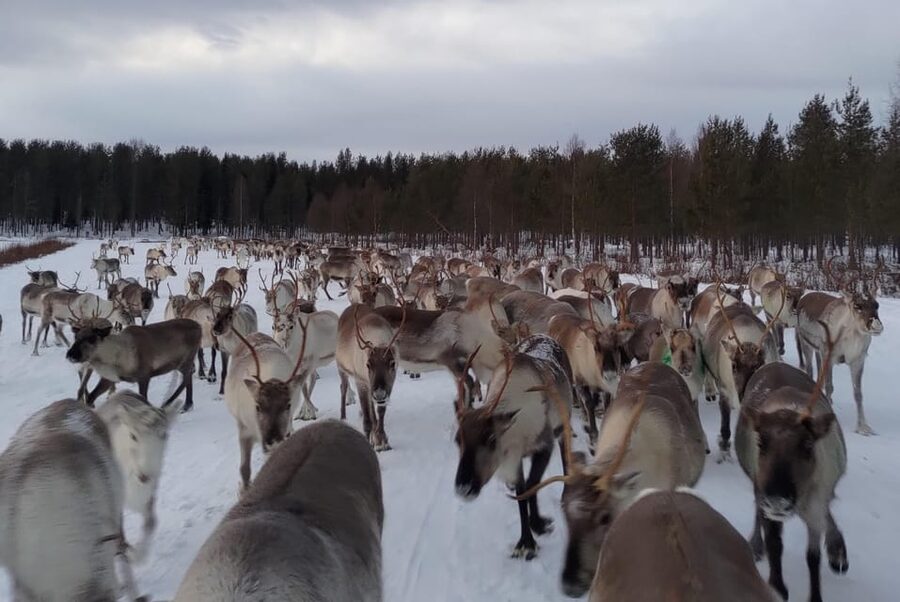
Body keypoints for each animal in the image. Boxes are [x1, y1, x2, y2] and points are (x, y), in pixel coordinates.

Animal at [66, 316, 202, 411]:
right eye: (76, 337)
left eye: (92, 339)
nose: (70, 355)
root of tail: (199, 326)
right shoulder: (109, 378)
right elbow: (90, 398)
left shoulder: (144, 376)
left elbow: (143, 399)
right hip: (180, 364)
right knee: (188, 376)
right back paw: (186, 404)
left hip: (186, 359)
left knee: (188, 376)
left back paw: (171, 403)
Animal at [336, 305, 403, 450]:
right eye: (368, 364)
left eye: (392, 363)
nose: (379, 394)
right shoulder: (361, 381)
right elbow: (366, 419)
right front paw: (370, 440)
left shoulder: (387, 385)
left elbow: (380, 411)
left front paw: (382, 440)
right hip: (341, 368)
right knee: (343, 387)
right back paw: (343, 418)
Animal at [454, 335, 574, 560]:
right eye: (458, 440)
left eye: (491, 438)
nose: (463, 488)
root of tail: (546, 336)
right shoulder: (514, 458)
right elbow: (521, 491)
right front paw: (526, 540)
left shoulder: (544, 445)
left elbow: (531, 486)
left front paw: (535, 530)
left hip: (564, 423)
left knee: (565, 452)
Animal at [736, 353, 848, 602]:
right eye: (761, 442)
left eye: (808, 445)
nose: (778, 500)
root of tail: (774, 361)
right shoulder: (764, 494)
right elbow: (775, 544)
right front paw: (777, 587)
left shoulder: (816, 502)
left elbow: (813, 557)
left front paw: (816, 595)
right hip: (758, 484)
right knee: (758, 513)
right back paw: (756, 546)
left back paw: (837, 551)